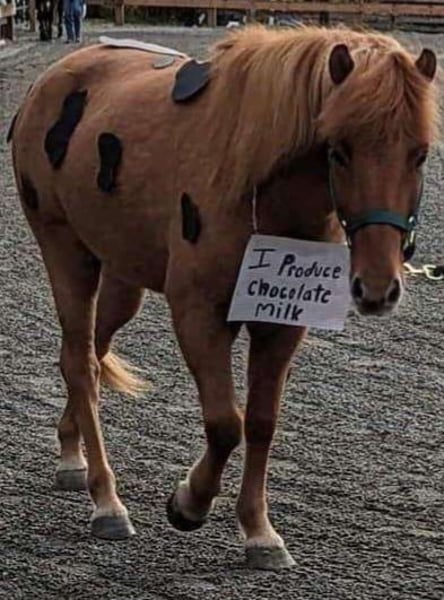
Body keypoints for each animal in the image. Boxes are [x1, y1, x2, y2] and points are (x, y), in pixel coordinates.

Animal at [9, 26, 437, 570]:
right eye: (338, 150)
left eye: (419, 153)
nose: (378, 288)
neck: (258, 188)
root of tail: (47, 81)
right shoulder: (198, 314)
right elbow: (224, 424)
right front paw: (189, 502)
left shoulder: (281, 322)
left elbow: (260, 422)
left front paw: (259, 530)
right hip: (66, 250)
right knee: (82, 364)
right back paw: (106, 500)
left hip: (122, 278)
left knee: (88, 353)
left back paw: (72, 455)